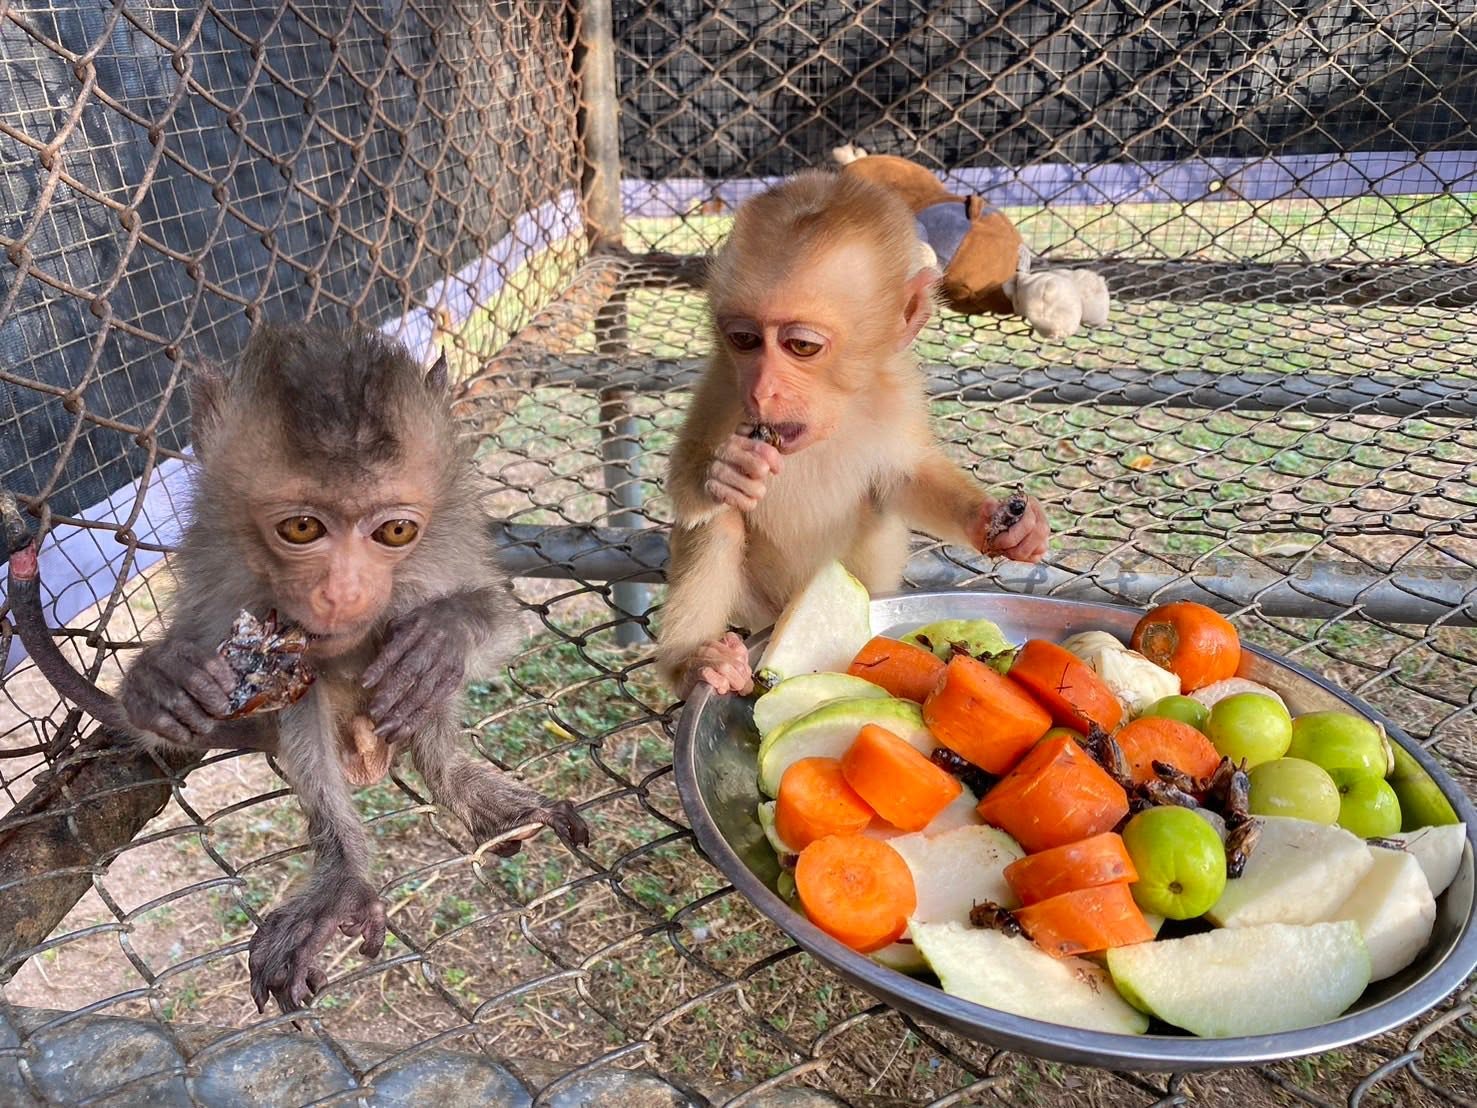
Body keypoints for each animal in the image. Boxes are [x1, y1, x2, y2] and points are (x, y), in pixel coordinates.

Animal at [5, 322, 588, 1014]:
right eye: (304, 528)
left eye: (394, 532)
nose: (342, 592)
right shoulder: (218, 565)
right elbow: (172, 717)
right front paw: (158, 683)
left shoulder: (451, 539)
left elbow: (496, 618)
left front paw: (445, 635)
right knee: (304, 700)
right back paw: (344, 878)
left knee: (417, 700)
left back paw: (459, 780)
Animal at [656, 170, 1052, 698]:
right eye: (744, 340)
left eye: (801, 346)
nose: (762, 389)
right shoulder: (722, 385)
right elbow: (688, 480)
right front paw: (724, 473)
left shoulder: (898, 390)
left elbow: (907, 478)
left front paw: (999, 522)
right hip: (754, 603)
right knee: (718, 524)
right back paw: (697, 665)